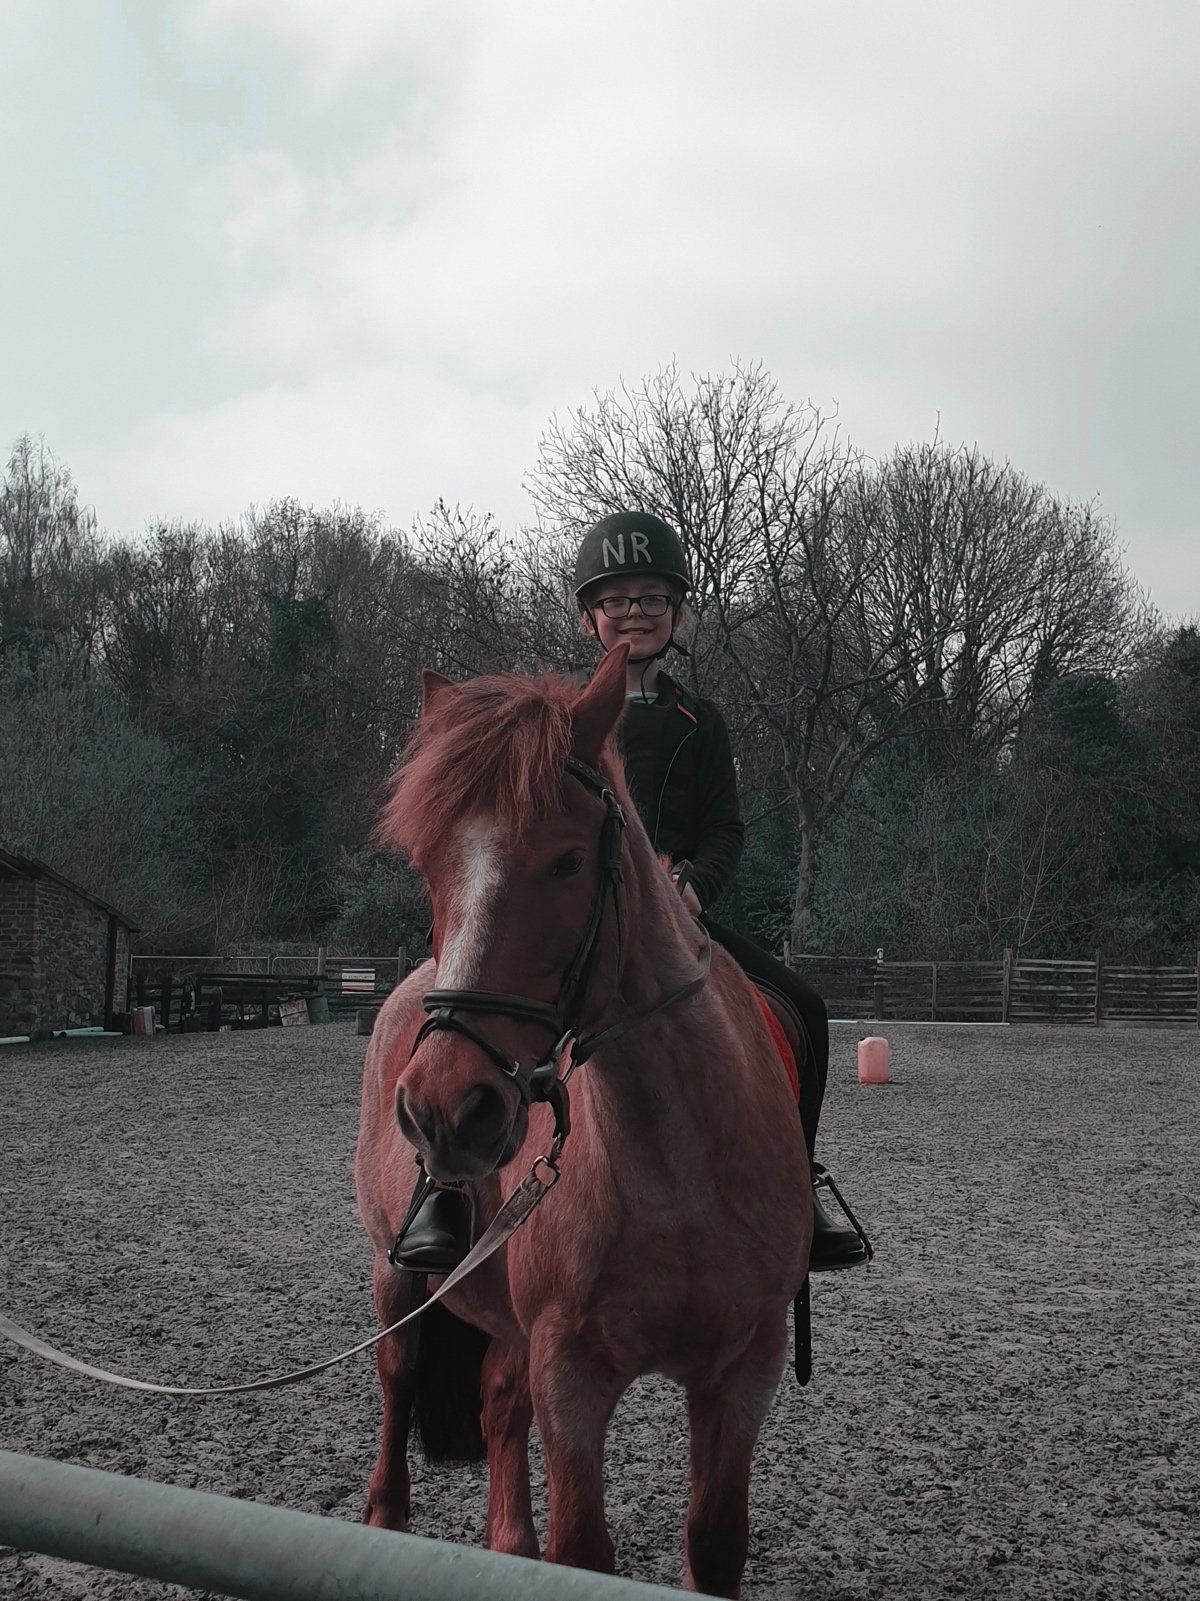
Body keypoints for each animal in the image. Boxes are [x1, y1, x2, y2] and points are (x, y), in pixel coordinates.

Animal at [354, 643, 812, 1598]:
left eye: (567, 862)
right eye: (430, 867)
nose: (444, 1106)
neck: (676, 1166)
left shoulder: (743, 1369)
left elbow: (714, 1541)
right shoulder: (572, 1371)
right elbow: (582, 1551)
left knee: (497, 1402)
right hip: (396, 1272)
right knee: (399, 1374)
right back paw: (384, 1514)